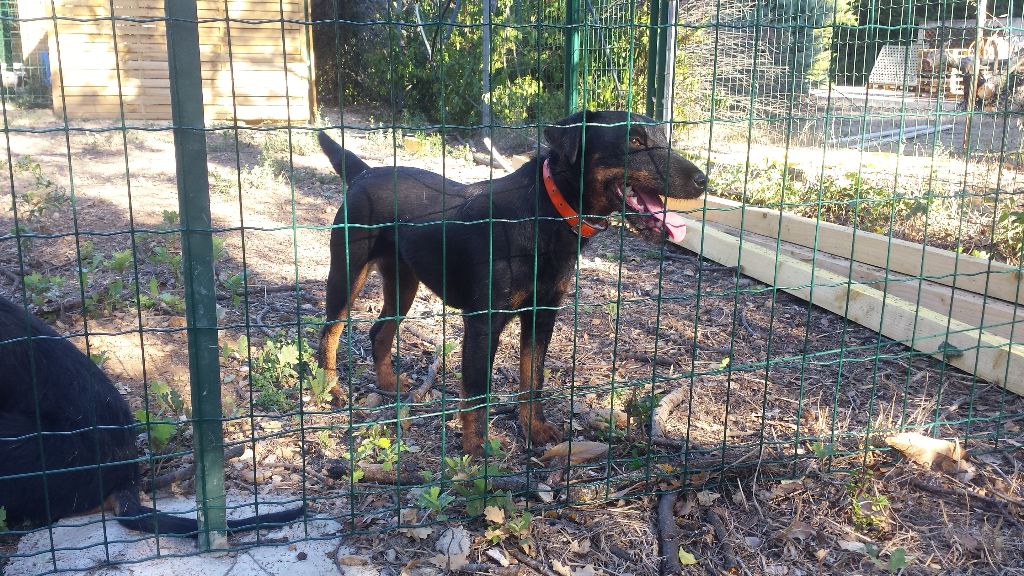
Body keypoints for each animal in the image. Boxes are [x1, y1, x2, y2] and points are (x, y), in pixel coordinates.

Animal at [315, 109, 708, 455]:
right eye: (635, 141)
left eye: (665, 139)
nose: (703, 180)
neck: (546, 212)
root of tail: (364, 173)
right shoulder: (483, 323)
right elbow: (477, 393)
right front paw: (476, 449)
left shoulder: (542, 315)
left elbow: (532, 379)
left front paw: (534, 429)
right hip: (346, 274)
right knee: (329, 332)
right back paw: (331, 390)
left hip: (403, 283)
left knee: (378, 331)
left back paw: (387, 384)